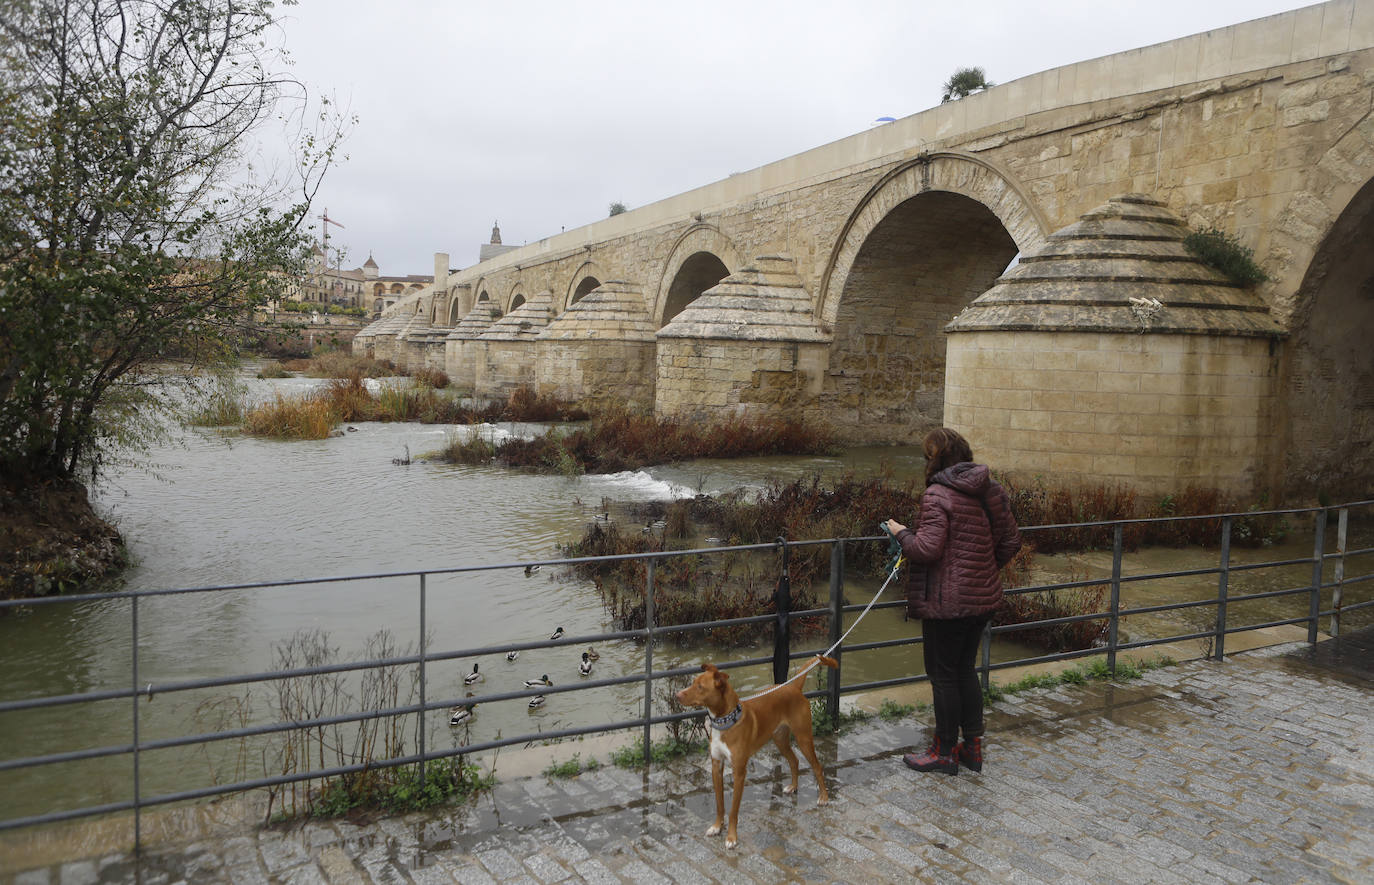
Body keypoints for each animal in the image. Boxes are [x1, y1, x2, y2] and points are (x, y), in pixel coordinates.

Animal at [676, 656, 835, 852]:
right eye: (693, 683)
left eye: (700, 687)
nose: (677, 695)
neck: (725, 721)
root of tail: (793, 687)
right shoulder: (716, 765)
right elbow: (720, 804)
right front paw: (717, 827)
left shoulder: (739, 771)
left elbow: (733, 810)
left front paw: (731, 837)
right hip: (780, 740)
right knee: (794, 760)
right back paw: (793, 786)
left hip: (803, 737)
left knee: (817, 767)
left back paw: (824, 797)